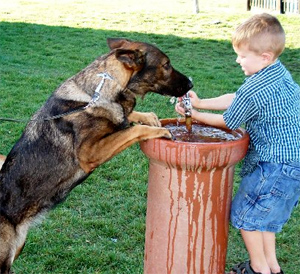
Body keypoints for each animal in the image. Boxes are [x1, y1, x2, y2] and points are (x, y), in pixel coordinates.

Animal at [0, 38, 192, 272]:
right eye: (166, 65)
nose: (191, 84)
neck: (101, 89)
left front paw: (148, 117)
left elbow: (128, 118)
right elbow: (133, 129)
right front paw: (157, 129)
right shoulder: (90, 152)